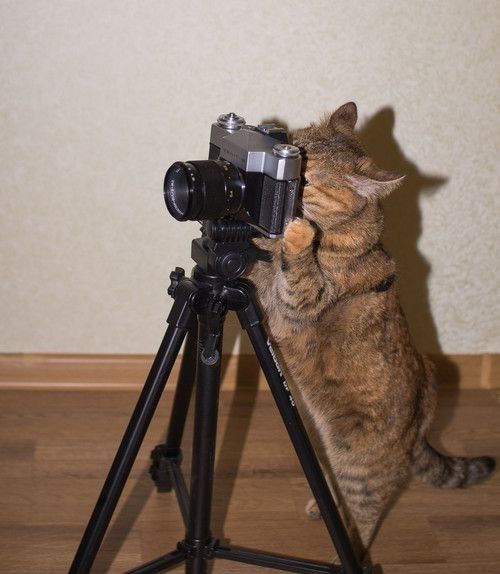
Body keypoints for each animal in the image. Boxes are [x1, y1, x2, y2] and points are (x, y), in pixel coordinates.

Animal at [250, 101, 496, 560]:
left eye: (304, 177)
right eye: (291, 142)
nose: (279, 140)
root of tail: (421, 427)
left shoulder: (295, 304)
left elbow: (294, 274)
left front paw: (293, 238)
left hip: (359, 465)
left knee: (365, 517)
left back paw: (346, 552)